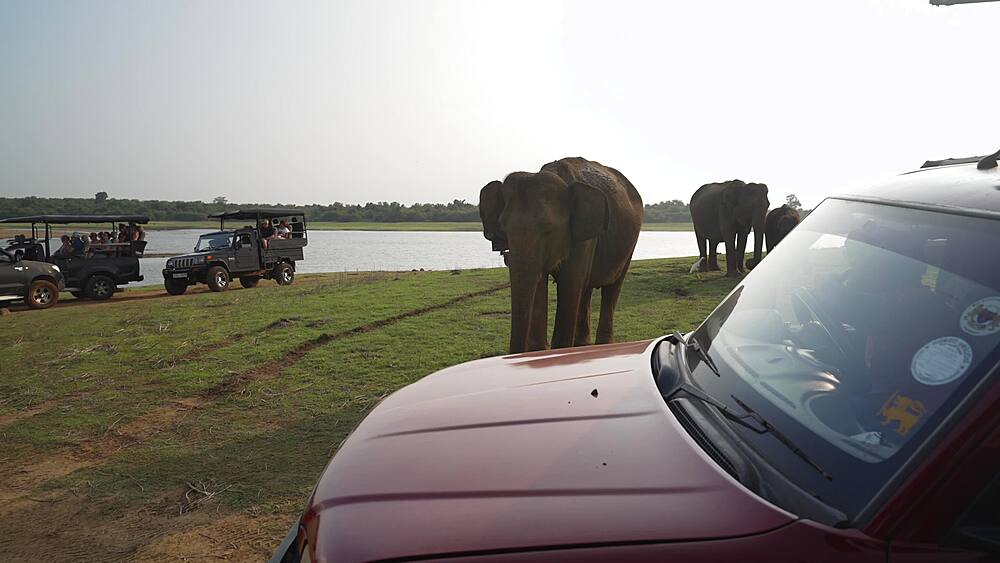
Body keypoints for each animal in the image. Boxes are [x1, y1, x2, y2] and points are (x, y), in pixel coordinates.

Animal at [479, 157, 644, 354]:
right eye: (503, 228)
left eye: (549, 230)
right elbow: (540, 283)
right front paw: (538, 352)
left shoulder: (585, 238)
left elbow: (569, 283)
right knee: (586, 288)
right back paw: (582, 345)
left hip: (629, 244)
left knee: (612, 287)